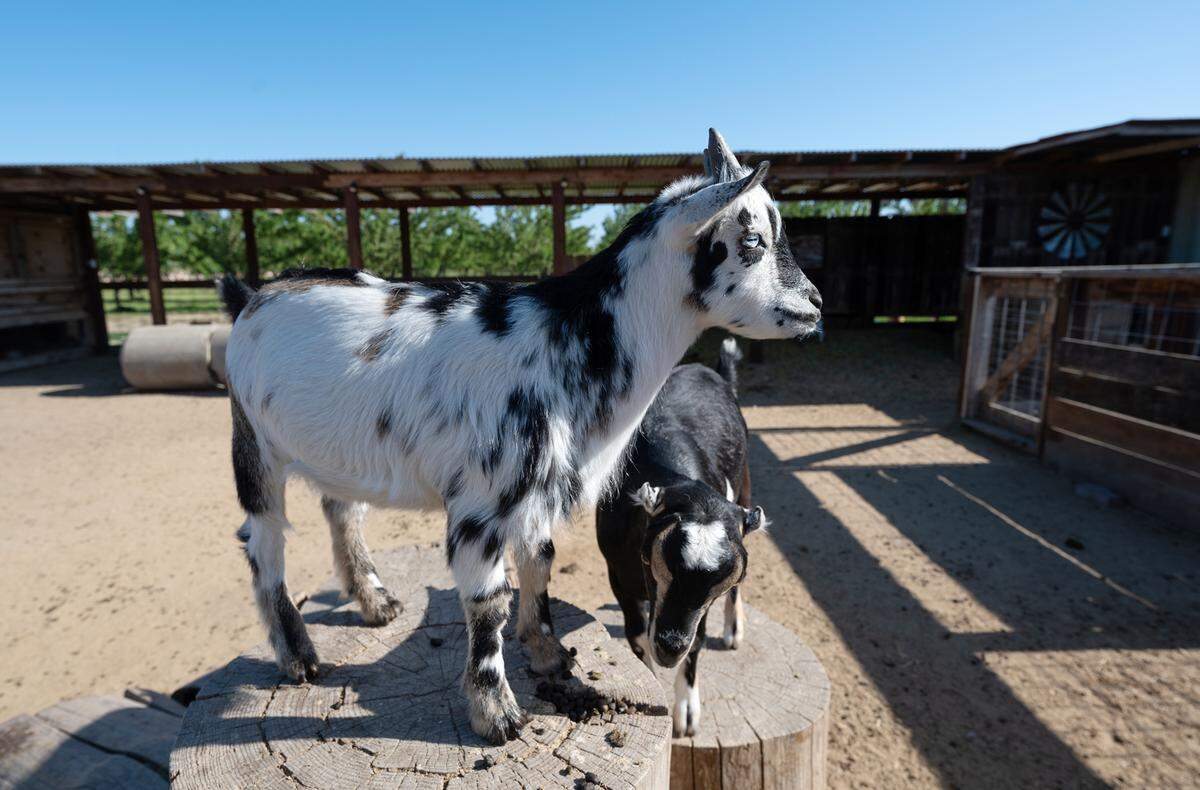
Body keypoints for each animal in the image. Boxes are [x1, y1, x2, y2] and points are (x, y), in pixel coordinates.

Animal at [596, 338, 762, 737]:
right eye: (655, 562)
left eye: (717, 581)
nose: (671, 647)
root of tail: (708, 369)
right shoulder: (617, 574)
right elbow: (637, 636)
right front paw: (650, 682)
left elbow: (698, 638)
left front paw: (686, 711)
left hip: (746, 483)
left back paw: (734, 628)